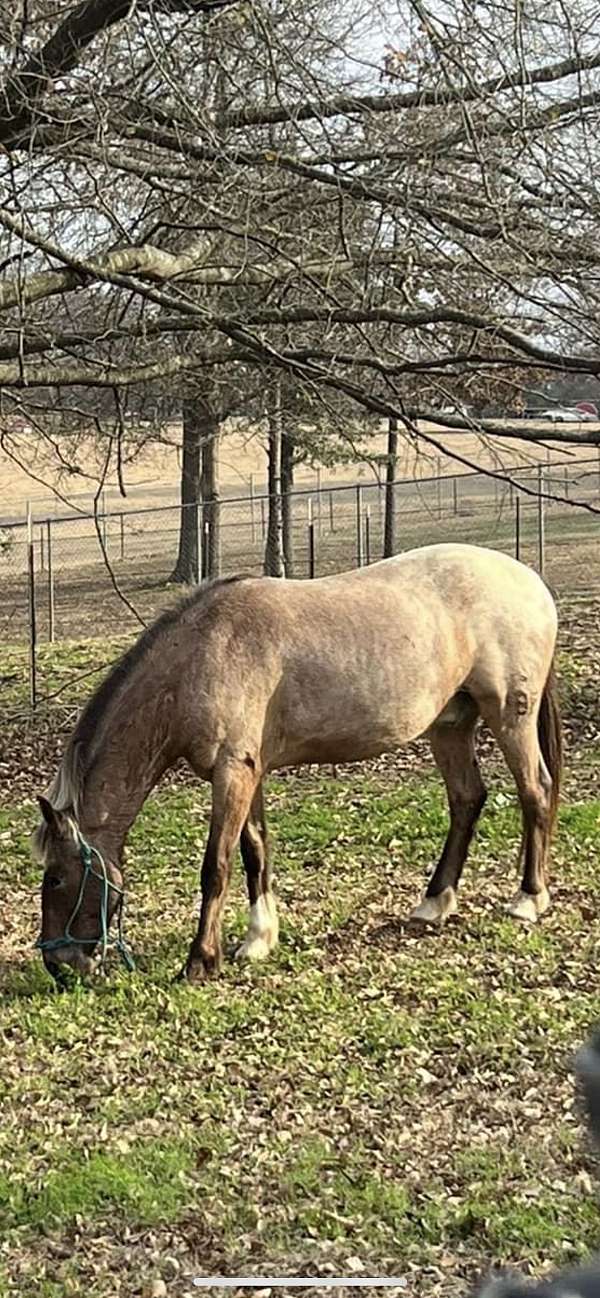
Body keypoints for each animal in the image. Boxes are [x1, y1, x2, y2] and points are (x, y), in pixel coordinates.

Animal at [33, 545, 563, 981]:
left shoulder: (232, 773)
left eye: (55, 877)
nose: (58, 964)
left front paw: (201, 961)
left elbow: (216, 865)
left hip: (508, 716)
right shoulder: (249, 773)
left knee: (535, 791)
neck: (202, 655)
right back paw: (435, 902)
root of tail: (531, 581)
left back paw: (527, 899)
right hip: (450, 726)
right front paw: (258, 939)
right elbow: (255, 851)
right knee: (467, 800)